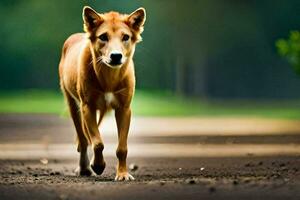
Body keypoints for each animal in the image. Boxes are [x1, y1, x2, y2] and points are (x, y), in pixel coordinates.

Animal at [58, 5, 145, 181]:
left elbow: (122, 148)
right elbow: (97, 143)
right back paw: (85, 167)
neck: (109, 77)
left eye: (126, 37)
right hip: (73, 104)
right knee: (83, 139)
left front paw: (123, 174)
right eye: (103, 37)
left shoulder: (124, 108)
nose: (116, 56)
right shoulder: (87, 106)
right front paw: (98, 165)